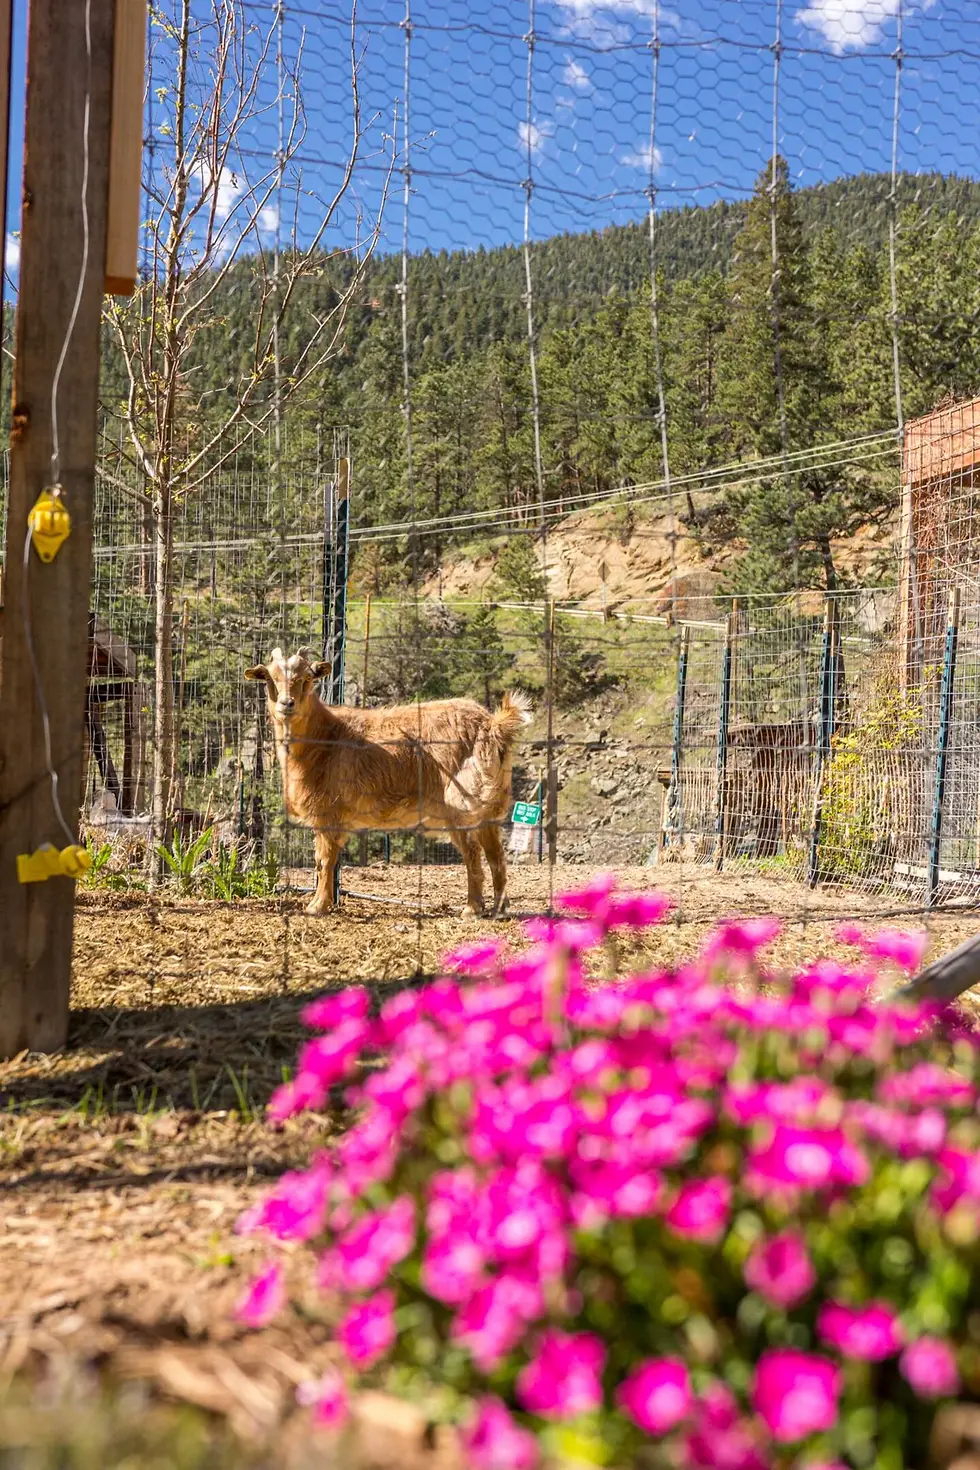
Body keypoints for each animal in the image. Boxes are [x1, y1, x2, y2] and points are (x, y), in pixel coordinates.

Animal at [245, 647, 533, 917]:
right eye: (270, 678)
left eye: (306, 678)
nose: (287, 704)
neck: (325, 737)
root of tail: (493, 726)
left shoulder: (328, 812)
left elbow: (324, 860)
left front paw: (317, 906)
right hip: (489, 807)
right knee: (496, 856)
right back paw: (499, 908)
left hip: (461, 802)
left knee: (473, 853)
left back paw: (472, 908)